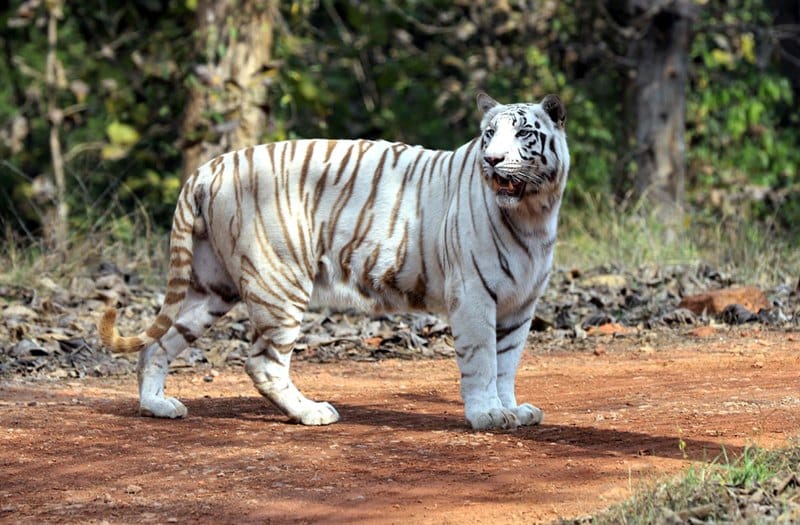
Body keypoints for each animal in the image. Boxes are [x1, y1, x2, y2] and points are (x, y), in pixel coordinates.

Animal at [98, 92, 569, 431]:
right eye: (489, 134)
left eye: (523, 134)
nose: (492, 160)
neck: (532, 213)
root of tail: (210, 167)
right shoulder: (473, 296)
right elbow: (483, 360)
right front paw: (487, 415)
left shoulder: (520, 304)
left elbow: (507, 362)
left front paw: (512, 410)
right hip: (279, 282)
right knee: (262, 362)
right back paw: (312, 413)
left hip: (212, 288)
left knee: (158, 344)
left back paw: (158, 405)